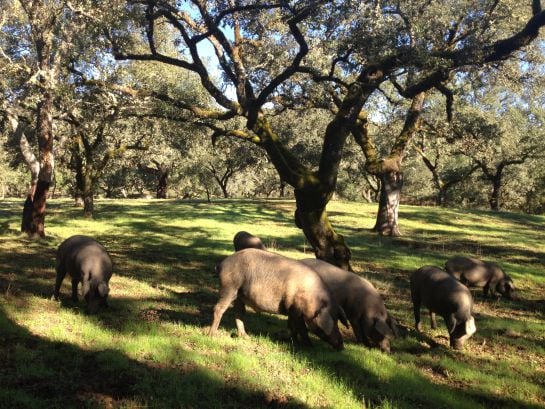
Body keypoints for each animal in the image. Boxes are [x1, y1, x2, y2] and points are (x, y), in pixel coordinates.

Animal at [208, 247, 344, 350]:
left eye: (337, 319)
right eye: (332, 320)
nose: (341, 346)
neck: (312, 299)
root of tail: (222, 264)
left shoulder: (291, 310)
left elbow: (292, 327)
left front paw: (294, 342)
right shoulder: (296, 310)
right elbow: (302, 329)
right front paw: (310, 347)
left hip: (239, 295)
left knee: (239, 313)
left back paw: (246, 336)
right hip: (229, 287)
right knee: (218, 308)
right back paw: (211, 335)